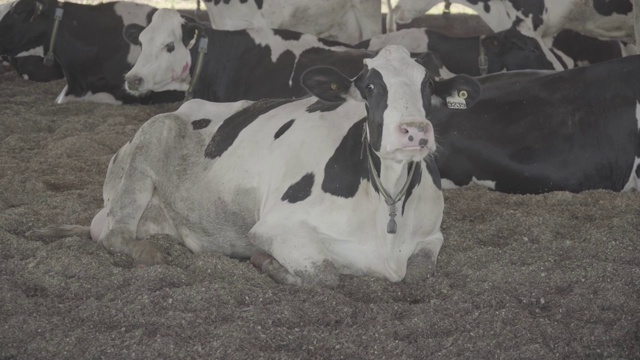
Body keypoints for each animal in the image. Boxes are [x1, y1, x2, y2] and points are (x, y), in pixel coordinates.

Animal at [30, 45, 480, 286]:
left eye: (427, 86)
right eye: (370, 86)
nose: (414, 132)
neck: (386, 197)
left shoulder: (431, 237)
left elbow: (419, 272)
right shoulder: (276, 227)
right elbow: (325, 274)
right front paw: (267, 264)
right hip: (145, 151)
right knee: (115, 234)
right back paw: (150, 253)